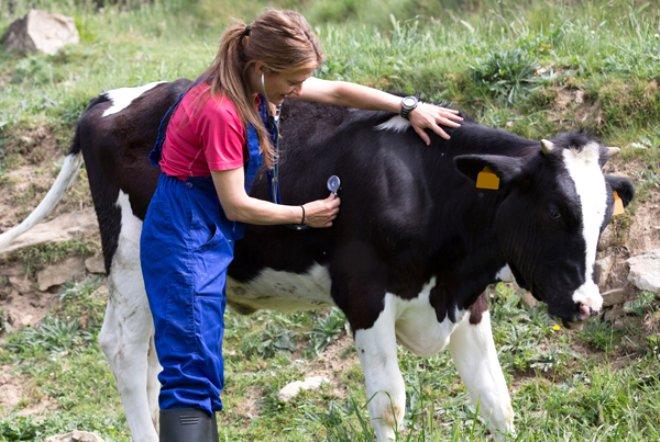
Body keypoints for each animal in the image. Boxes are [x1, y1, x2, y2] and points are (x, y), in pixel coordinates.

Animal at [0, 80, 636, 442]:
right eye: (554, 210)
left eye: (604, 217)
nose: (588, 304)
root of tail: (109, 100)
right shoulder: (364, 296)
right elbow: (389, 406)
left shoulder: (467, 298)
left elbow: (496, 403)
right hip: (131, 256)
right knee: (125, 348)